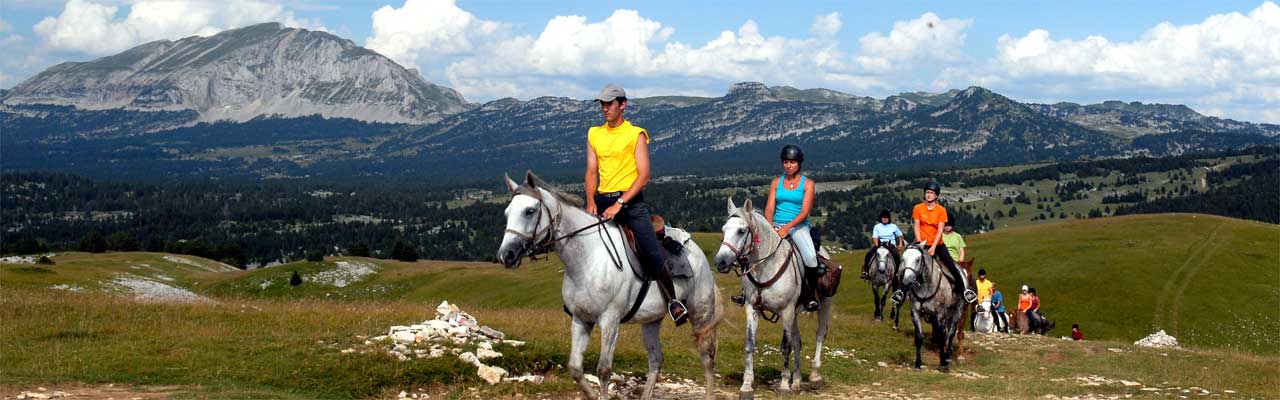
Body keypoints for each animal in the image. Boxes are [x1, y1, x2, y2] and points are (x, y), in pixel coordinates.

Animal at [496, 171, 727, 400]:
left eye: (529, 211)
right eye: (506, 213)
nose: (506, 255)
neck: (588, 259)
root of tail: (695, 249)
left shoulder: (610, 321)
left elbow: (604, 370)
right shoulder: (581, 320)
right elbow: (575, 368)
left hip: (701, 314)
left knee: (707, 357)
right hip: (651, 320)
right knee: (655, 360)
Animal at [711, 198, 839, 397]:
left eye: (741, 231)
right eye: (724, 229)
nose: (720, 262)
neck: (767, 266)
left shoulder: (786, 311)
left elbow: (785, 347)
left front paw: (784, 385)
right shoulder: (752, 309)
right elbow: (750, 344)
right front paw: (747, 385)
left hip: (824, 305)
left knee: (819, 334)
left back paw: (814, 376)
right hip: (795, 313)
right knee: (797, 341)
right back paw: (797, 381)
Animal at [896, 243, 962, 371]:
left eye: (918, 260)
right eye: (903, 259)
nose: (907, 282)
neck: (926, 286)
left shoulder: (940, 314)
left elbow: (942, 337)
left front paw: (943, 363)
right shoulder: (915, 313)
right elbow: (919, 337)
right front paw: (918, 363)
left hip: (957, 311)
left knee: (951, 333)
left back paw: (948, 356)